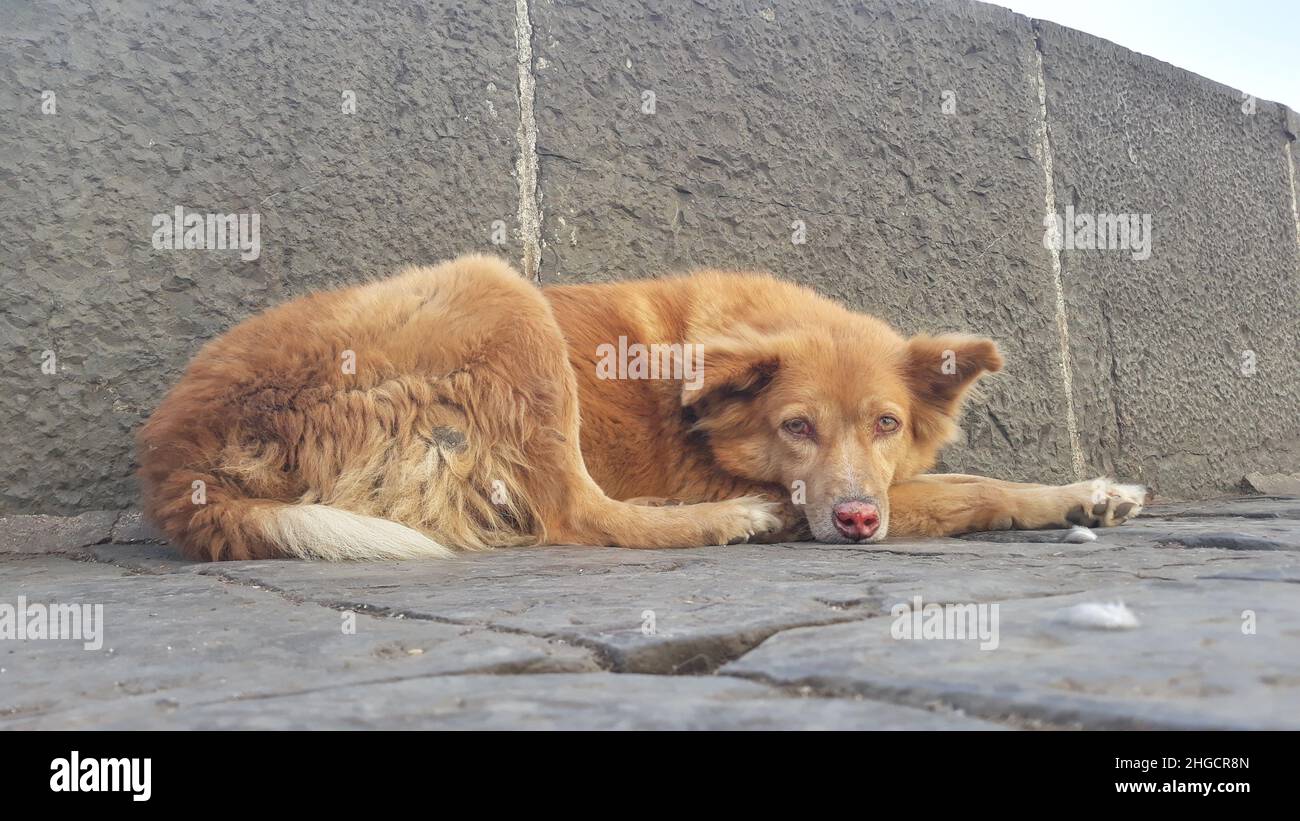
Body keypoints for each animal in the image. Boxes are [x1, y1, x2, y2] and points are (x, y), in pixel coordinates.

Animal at [139, 257, 1149, 561]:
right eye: (796, 426)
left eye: (888, 424)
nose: (860, 521)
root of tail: (178, 452)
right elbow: (974, 487)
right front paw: (1075, 492)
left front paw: (1092, 494)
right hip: (499, 291)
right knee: (578, 516)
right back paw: (723, 519)